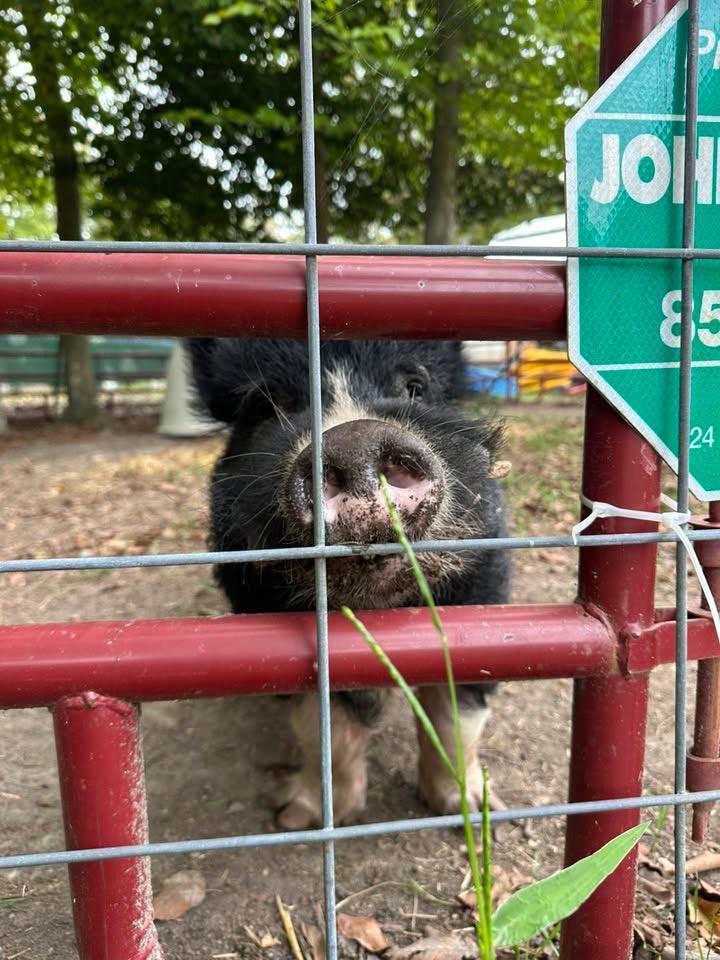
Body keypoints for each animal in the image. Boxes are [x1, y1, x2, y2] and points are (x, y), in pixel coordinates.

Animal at [187, 338, 510, 831]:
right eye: (263, 404)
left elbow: (458, 712)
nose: (357, 439)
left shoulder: (484, 589)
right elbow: (323, 725)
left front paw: (473, 813)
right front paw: (294, 818)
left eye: (415, 387)